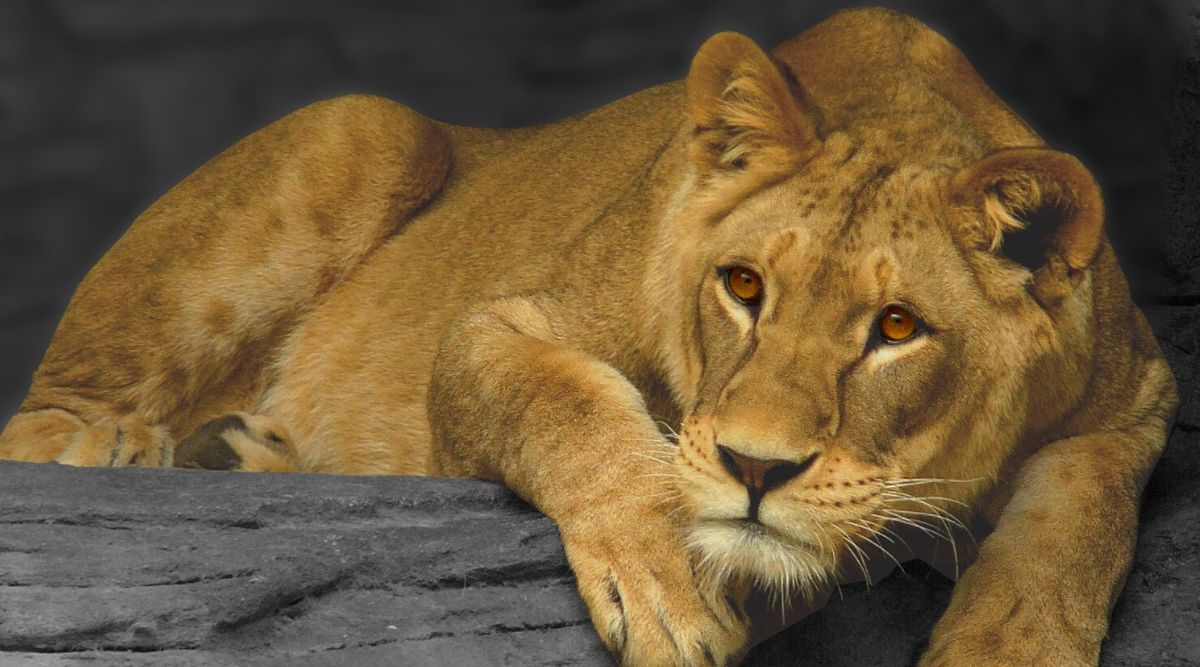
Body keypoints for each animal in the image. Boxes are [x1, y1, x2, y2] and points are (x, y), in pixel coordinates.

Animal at [0, 7, 1176, 666]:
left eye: (898, 328)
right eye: (743, 285)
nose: (755, 466)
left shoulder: (1143, 392)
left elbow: (1081, 508)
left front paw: (1010, 644)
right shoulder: (499, 322)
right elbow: (574, 410)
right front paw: (669, 582)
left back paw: (244, 454)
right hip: (366, 128)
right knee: (37, 422)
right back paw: (129, 447)